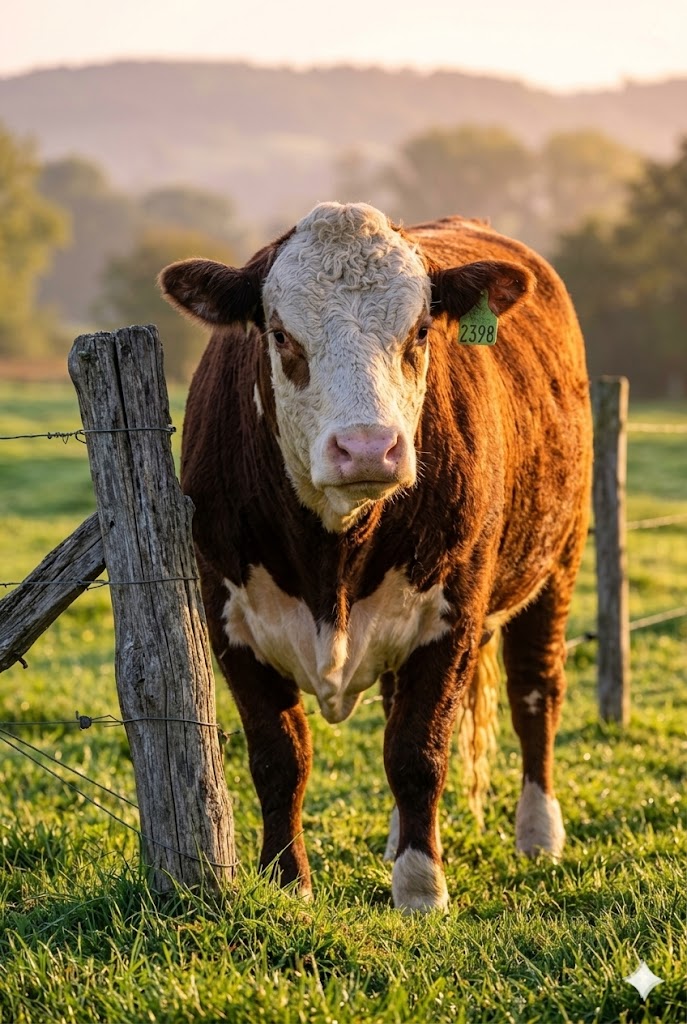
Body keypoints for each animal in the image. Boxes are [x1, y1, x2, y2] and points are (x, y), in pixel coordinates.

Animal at [159, 202, 592, 912]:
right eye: (280, 335)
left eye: (419, 331)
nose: (367, 448)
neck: (331, 556)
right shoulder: (228, 614)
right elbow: (281, 757)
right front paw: (288, 881)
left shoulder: (453, 615)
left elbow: (418, 752)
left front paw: (420, 886)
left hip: (558, 558)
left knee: (535, 691)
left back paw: (537, 835)